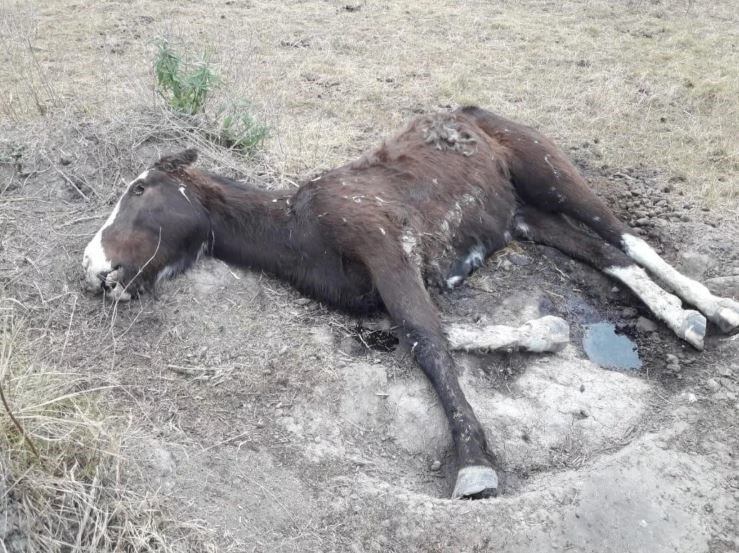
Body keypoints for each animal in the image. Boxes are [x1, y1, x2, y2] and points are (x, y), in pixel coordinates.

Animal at [82, 105, 739, 498]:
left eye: (140, 189)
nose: (91, 268)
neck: (300, 233)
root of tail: (470, 112)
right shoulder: (374, 296)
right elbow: (428, 334)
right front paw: (547, 331)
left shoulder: (387, 253)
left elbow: (427, 344)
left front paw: (473, 463)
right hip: (522, 217)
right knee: (607, 255)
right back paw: (681, 317)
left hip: (549, 172)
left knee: (626, 236)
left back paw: (714, 308)